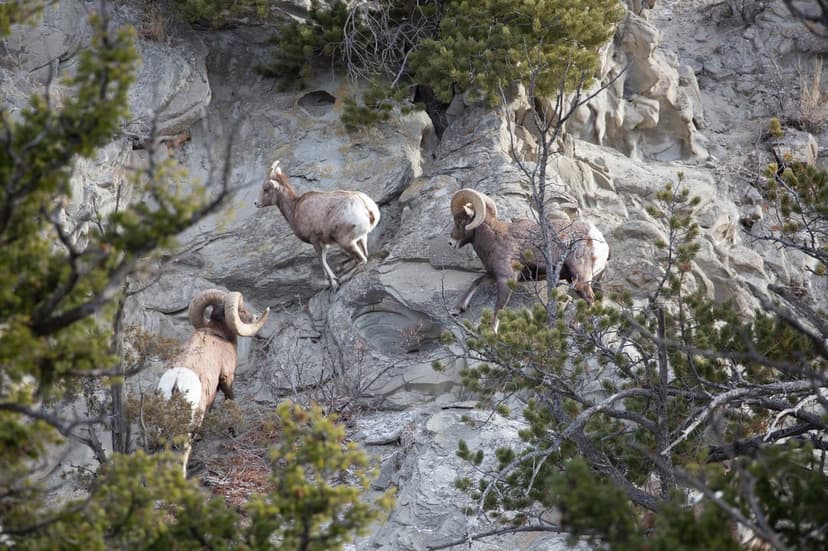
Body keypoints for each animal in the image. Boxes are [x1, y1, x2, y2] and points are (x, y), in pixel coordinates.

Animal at [254, 160, 381, 289]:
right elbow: (323, 260)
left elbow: (321, 260)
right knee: (365, 255)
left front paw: (333, 283)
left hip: (346, 242)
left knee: (362, 260)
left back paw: (343, 278)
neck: (294, 208)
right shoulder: (325, 244)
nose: (256, 203)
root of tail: (365, 205)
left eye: (265, 189)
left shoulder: (314, 240)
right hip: (361, 238)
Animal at [448, 188, 609, 332]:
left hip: (579, 278)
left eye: (459, 220)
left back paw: (575, 324)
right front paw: (457, 309)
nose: (451, 242)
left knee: (590, 299)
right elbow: (476, 282)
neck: (494, 237)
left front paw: (492, 331)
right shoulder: (495, 274)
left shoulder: (506, 278)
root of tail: (599, 239)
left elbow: (499, 307)